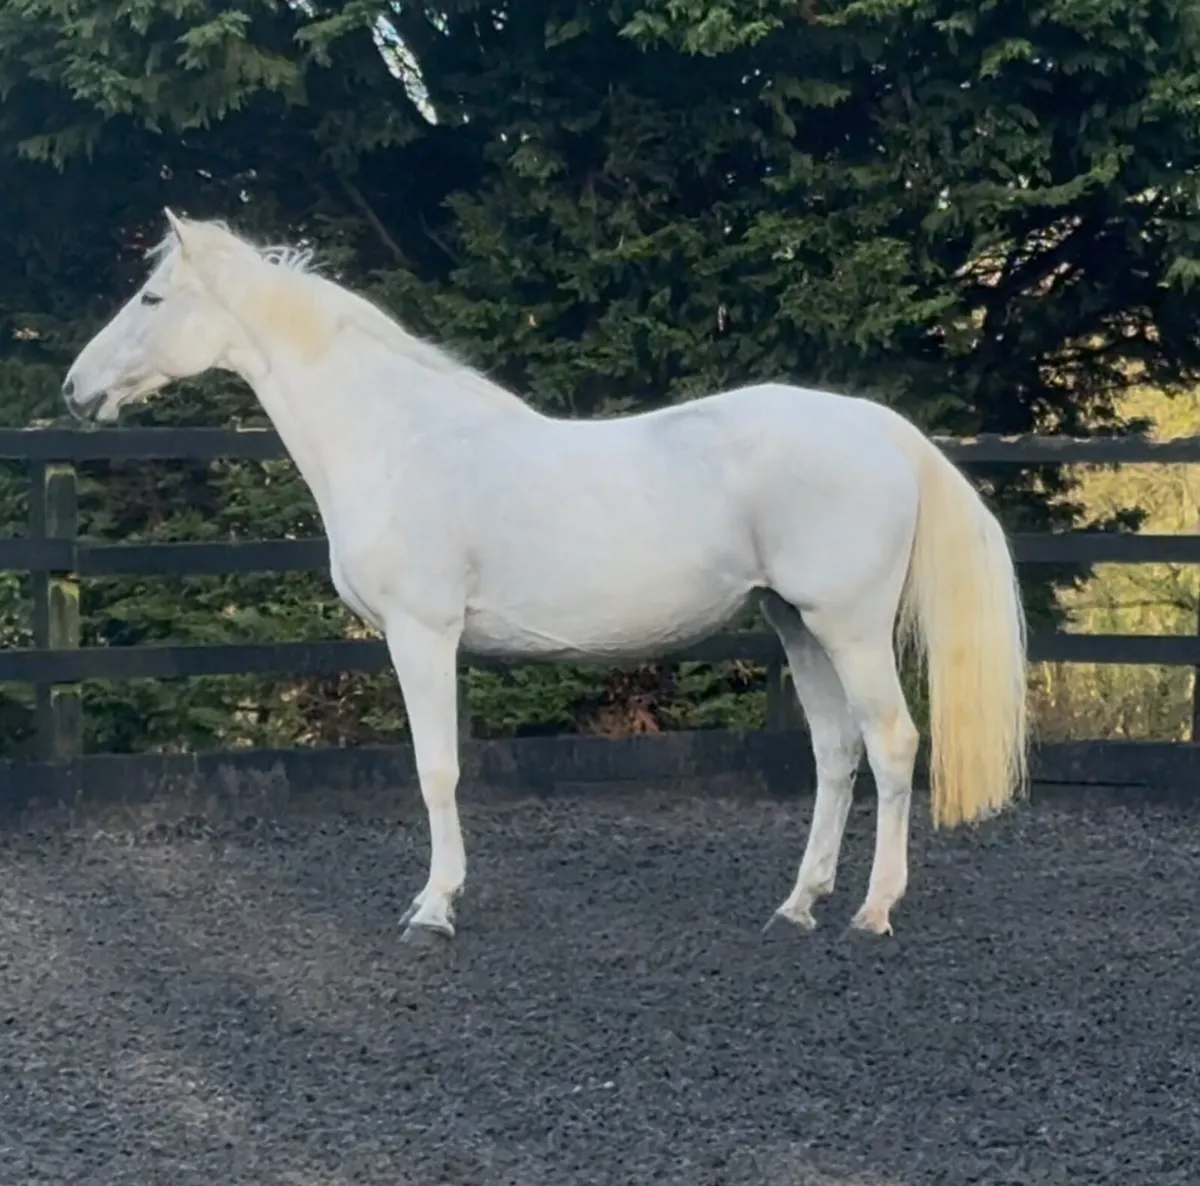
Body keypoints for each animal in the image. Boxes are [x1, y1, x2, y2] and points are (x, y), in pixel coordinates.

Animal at [63, 210, 1028, 943]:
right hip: (795, 623)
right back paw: (798, 905)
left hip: (848, 627)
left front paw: (434, 908)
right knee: (836, 751)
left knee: (893, 743)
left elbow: (436, 771)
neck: (399, 439)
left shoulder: (423, 634)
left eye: (152, 297)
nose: (75, 389)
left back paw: (872, 910)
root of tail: (881, 428)